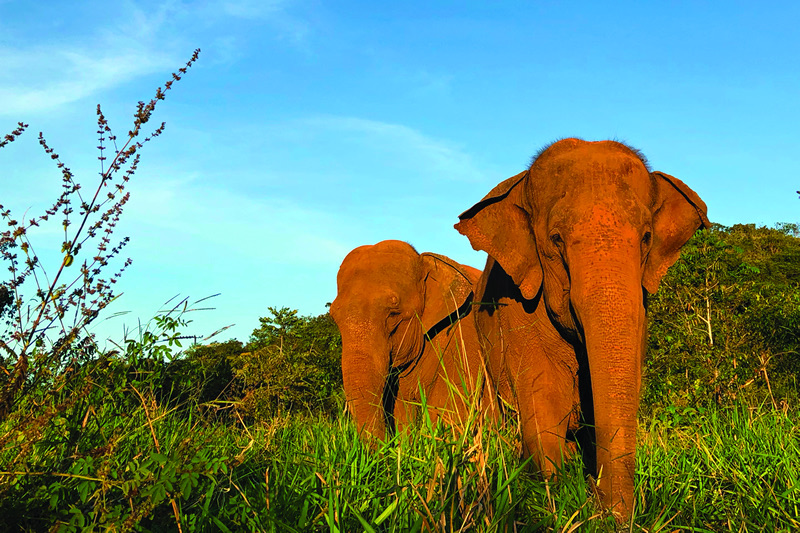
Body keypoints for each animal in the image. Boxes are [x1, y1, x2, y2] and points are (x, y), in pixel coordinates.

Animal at [455, 138, 710, 520]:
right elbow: (544, 396)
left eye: (647, 237)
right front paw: (554, 502)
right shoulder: (515, 304)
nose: (598, 500)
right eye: (556, 239)